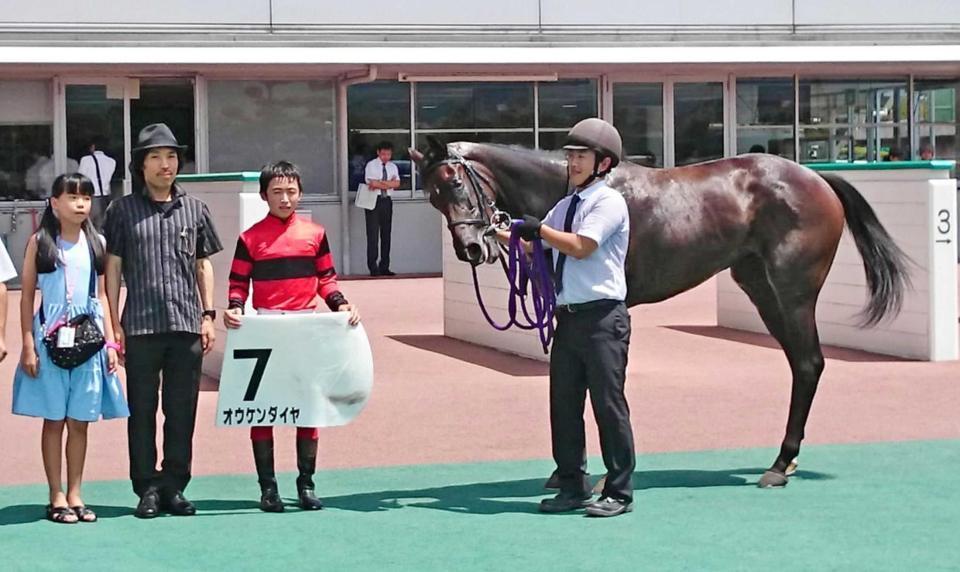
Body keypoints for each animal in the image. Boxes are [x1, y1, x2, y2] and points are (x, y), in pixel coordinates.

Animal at [410, 137, 910, 488]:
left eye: (456, 183)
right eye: (432, 195)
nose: (471, 249)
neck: (578, 193)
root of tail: (817, 179)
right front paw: (569, 473)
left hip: (793, 292)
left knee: (808, 363)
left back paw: (780, 463)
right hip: (761, 289)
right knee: (801, 364)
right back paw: (784, 461)